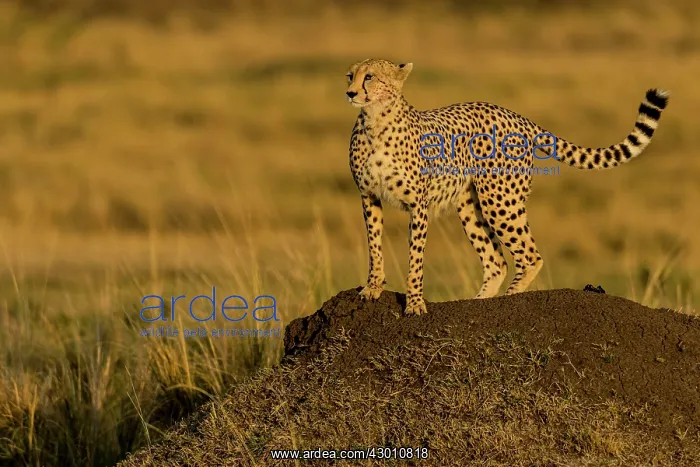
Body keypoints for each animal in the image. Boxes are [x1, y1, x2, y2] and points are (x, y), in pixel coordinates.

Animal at [345, 58, 669, 316]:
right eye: (351, 75)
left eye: (370, 77)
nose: (350, 92)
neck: (375, 122)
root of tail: (514, 114)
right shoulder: (369, 196)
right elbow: (374, 245)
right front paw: (372, 288)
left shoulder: (419, 205)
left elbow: (415, 257)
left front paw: (414, 303)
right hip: (472, 205)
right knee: (496, 261)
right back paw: (479, 302)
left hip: (500, 200)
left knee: (529, 256)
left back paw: (509, 300)